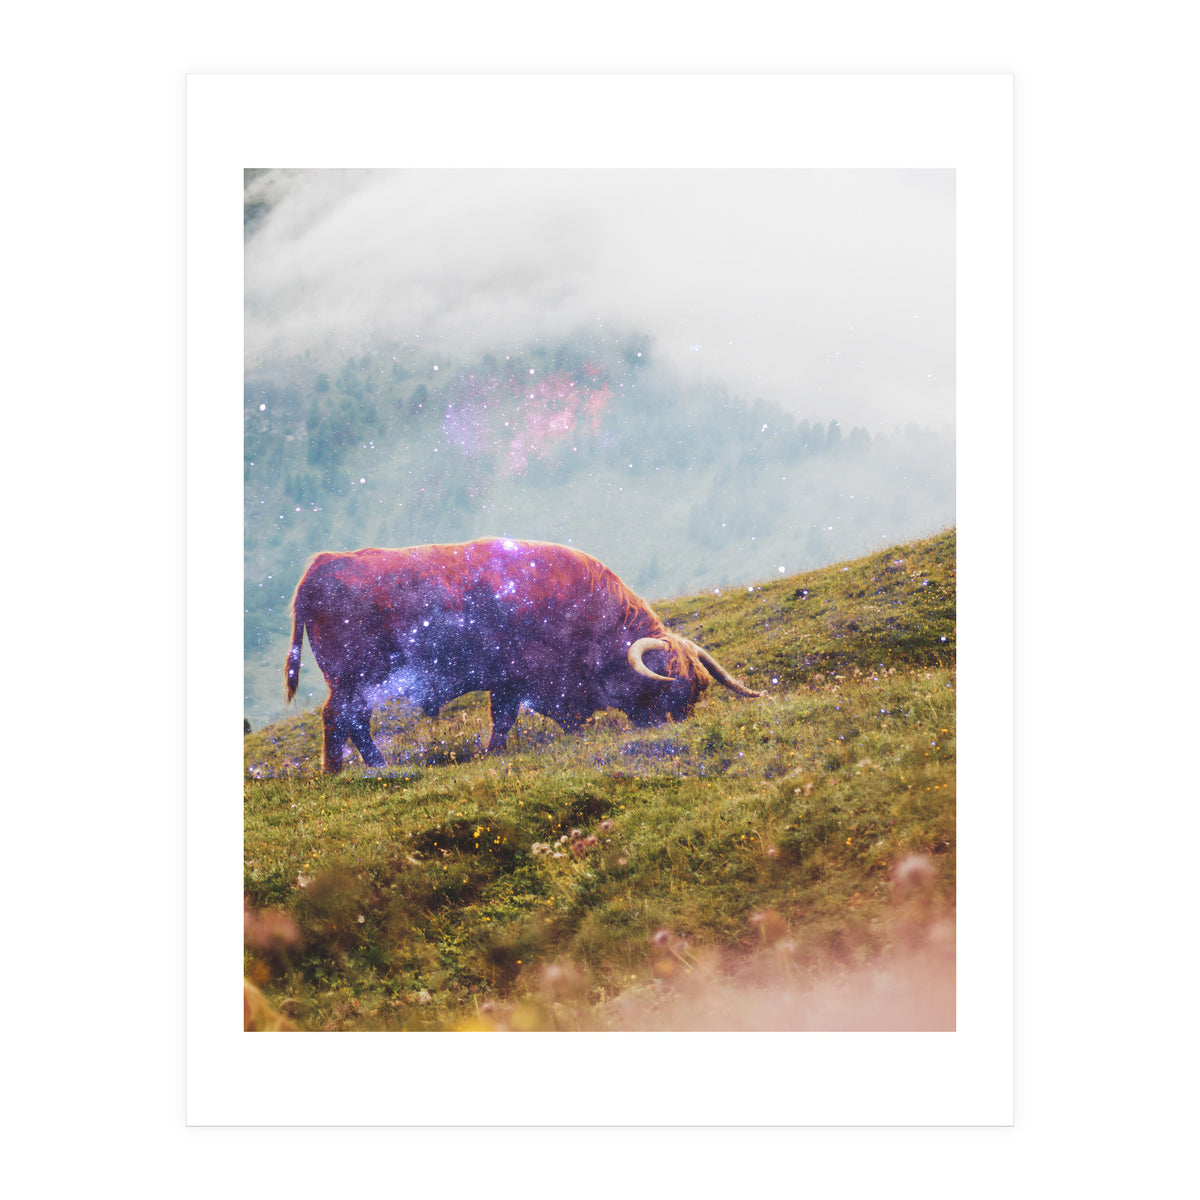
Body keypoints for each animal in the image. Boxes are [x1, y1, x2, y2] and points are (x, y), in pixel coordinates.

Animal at [284, 538, 762, 773]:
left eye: (697, 689)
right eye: (670, 688)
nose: (677, 726)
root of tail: (321, 565)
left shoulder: (509, 682)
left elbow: (505, 718)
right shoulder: (523, 677)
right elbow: (510, 717)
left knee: (347, 721)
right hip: (355, 679)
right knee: (343, 719)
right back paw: (360, 768)